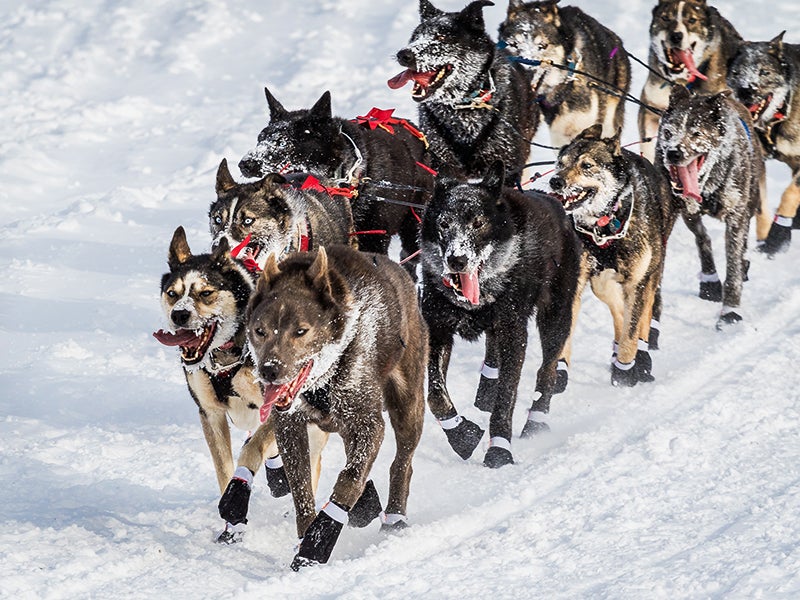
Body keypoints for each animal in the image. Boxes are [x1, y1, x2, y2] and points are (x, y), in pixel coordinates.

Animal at [390, 1, 536, 182]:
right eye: (415, 37)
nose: (403, 54)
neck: (464, 108)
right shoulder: (442, 164)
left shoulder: (507, 166)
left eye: (441, 37)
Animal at [418, 161, 580, 468]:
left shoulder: (513, 333)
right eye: (444, 223)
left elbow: (506, 397)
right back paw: (485, 392)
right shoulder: (437, 329)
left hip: (555, 317)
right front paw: (461, 434)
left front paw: (499, 449)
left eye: (478, 223)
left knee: (547, 371)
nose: (457, 260)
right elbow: (435, 395)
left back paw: (536, 422)